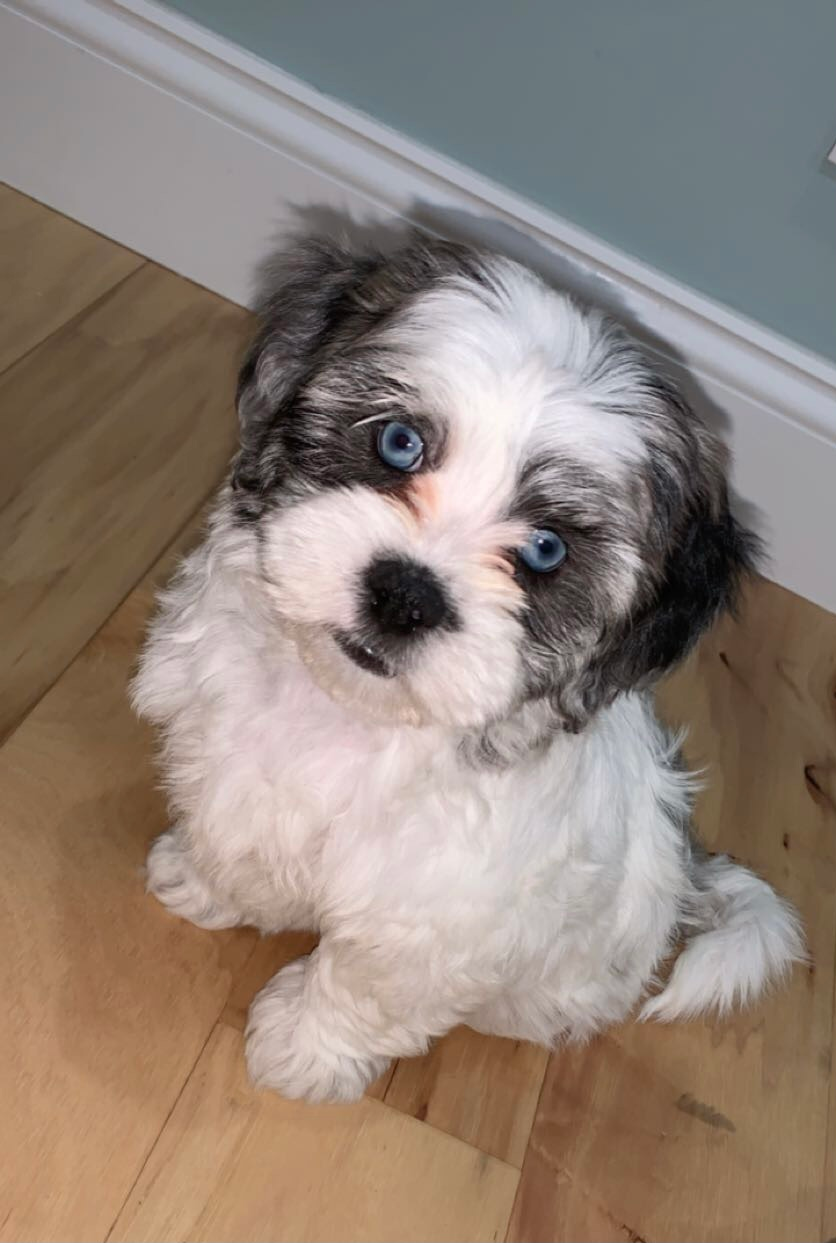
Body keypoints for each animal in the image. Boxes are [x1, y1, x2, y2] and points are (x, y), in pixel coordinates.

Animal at [133, 231, 804, 1098]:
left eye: (546, 550)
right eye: (398, 441)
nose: (406, 594)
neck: (347, 711)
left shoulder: (432, 915)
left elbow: (365, 986)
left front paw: (304, 1050)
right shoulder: (226, 759)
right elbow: (233, 833)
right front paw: (204, 881)